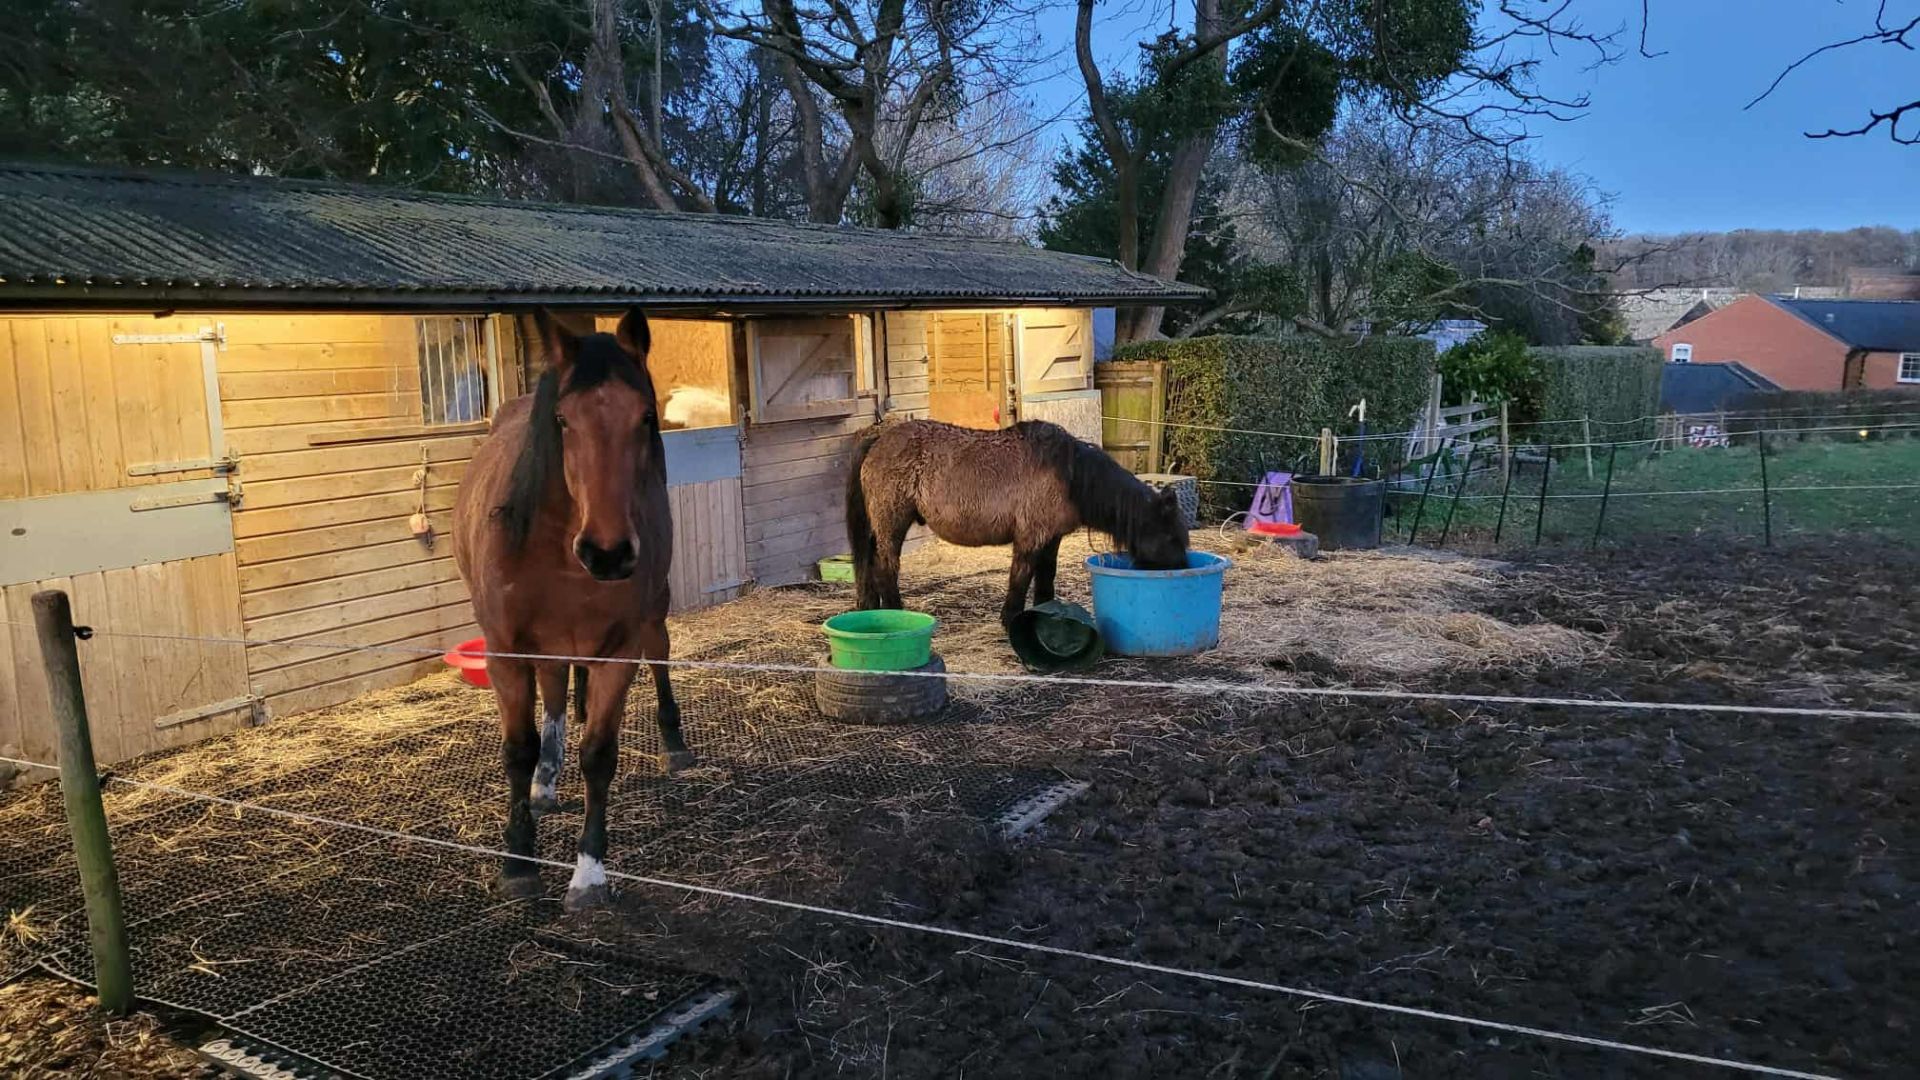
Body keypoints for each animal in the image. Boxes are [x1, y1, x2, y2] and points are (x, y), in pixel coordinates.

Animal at [452, 307, 689, 912]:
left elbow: (599, 754)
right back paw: (544, 781)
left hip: (652, 614)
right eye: (562, 420)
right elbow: (517, 748)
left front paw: (589, 872)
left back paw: (674, 745)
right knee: (555, 693)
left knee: (658, 655)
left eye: (645, 417)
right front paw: (517, 861)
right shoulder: (506, 652)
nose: (607, 552)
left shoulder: (617, 654)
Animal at [846, 419, 1190, 627]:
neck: (1069, 474)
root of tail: (880, 437)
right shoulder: (1030, 538)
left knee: (870, 564)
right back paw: (895, 611)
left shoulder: (1051, 539)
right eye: (1172, 538)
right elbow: (1021, 577)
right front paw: (1010, 618)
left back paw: (871, 607)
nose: (1183, 569)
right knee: (885, 566)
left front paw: (1047, 612)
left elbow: (1046, 576)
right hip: (892, 523)